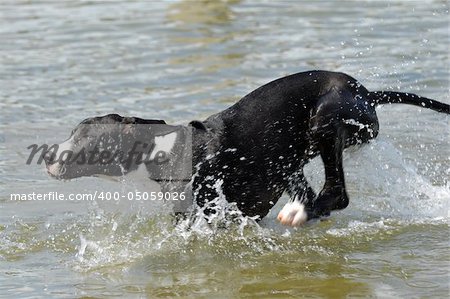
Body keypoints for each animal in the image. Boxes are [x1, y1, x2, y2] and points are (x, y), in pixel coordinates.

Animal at [44, 71, 450, 227]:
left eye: (81, 139)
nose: (47, 155)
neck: (163, 147)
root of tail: (366, 93)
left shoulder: (206, 211)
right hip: (289, 158)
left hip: (325, 119)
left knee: (336, 192)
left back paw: (301, 212)